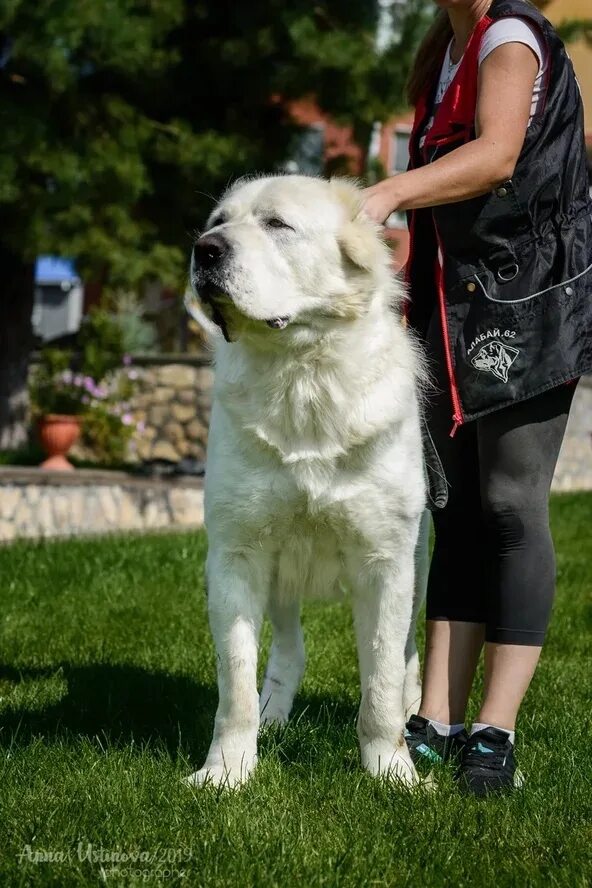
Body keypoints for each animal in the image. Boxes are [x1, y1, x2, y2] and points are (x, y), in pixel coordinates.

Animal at [184, 175, 426, 792]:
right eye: (218, 222)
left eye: (277, 225)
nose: (205, 250)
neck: (302, 371)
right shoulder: (236, 556)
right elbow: (236, 687)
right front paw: (226, 773)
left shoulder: (386, 561)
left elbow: (381, 682)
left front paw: (393, 772)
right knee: (290, 650)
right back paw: (274, 716)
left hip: (421, 561)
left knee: (410, 655)